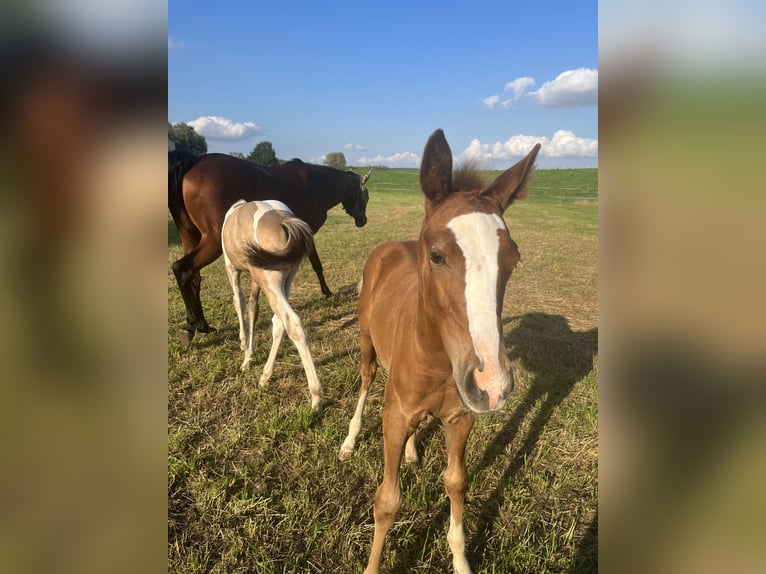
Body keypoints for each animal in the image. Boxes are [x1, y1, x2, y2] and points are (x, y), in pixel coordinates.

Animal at [168, 151, 372, 344]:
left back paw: (199, 325)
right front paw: (327, 291)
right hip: (213, 241)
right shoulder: (307, 234)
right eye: (366, 196)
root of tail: (194, 161)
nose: (363, 221)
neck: (314, 184)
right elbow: (316, 263)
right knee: (182, 269)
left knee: (194, 277)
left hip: (190, 237)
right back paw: (194, 325)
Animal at [220, 200, 322, 412]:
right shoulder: (255, 279)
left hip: (270, 283)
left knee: (292, 323)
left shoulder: (231, 269)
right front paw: (248, 355)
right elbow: (252, 308)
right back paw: (265, 376)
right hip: (284, 282)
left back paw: (316, 396)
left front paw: (244, 347)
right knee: (279, 323)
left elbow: (239, 301)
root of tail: (285, 221)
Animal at [340, 130, 544, 574]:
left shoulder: (460, 417)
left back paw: (413, 450)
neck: (436, 362)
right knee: (364, 381)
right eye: (436, 255)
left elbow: (456, 482)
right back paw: (349, 440)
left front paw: (461, 561)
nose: (491, 382)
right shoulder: (394, 417)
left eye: (514, 260)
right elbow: (387, 502)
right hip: (366, 342)